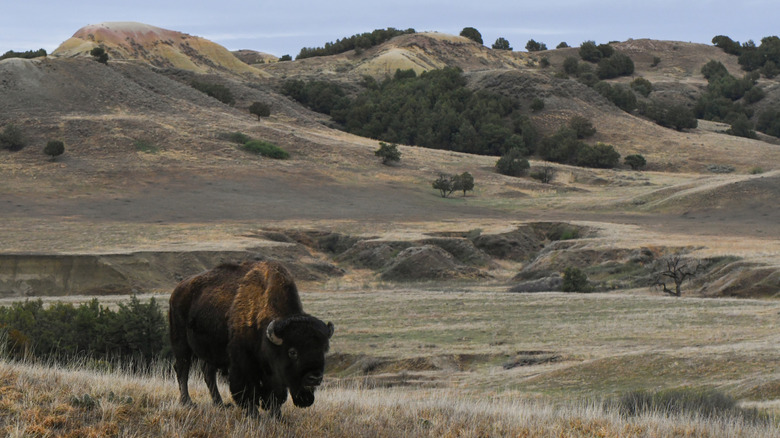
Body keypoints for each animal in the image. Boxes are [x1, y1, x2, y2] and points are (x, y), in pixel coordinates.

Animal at [168, 260, 334, 417]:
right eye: (292, 352)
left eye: (323, 350)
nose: (314, 377)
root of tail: (177, 291)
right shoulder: (243, 363)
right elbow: (248, 391)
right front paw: (254, 415)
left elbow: (277, 394)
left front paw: (276, 416)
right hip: (181, 343)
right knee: (182, 369)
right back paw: (188, 402)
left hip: (210, 351)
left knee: (208, 373)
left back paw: (220, 404)